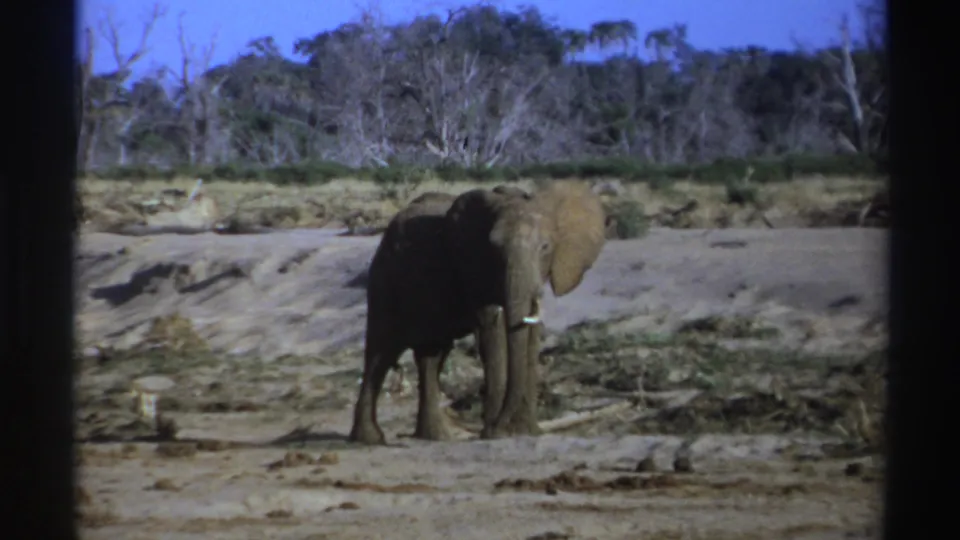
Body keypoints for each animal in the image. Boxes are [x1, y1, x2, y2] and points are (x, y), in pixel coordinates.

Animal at [348, 181, 606, 445]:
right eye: (494, 248)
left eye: (545, 247)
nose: (505, 425)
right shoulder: (473, 268)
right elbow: (492, 333)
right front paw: (496, 434)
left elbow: (531, 333)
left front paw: (528, 431)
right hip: (384, 279)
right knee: (381, 352)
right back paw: (370, 439)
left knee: (431, 354)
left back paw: (436, 437)